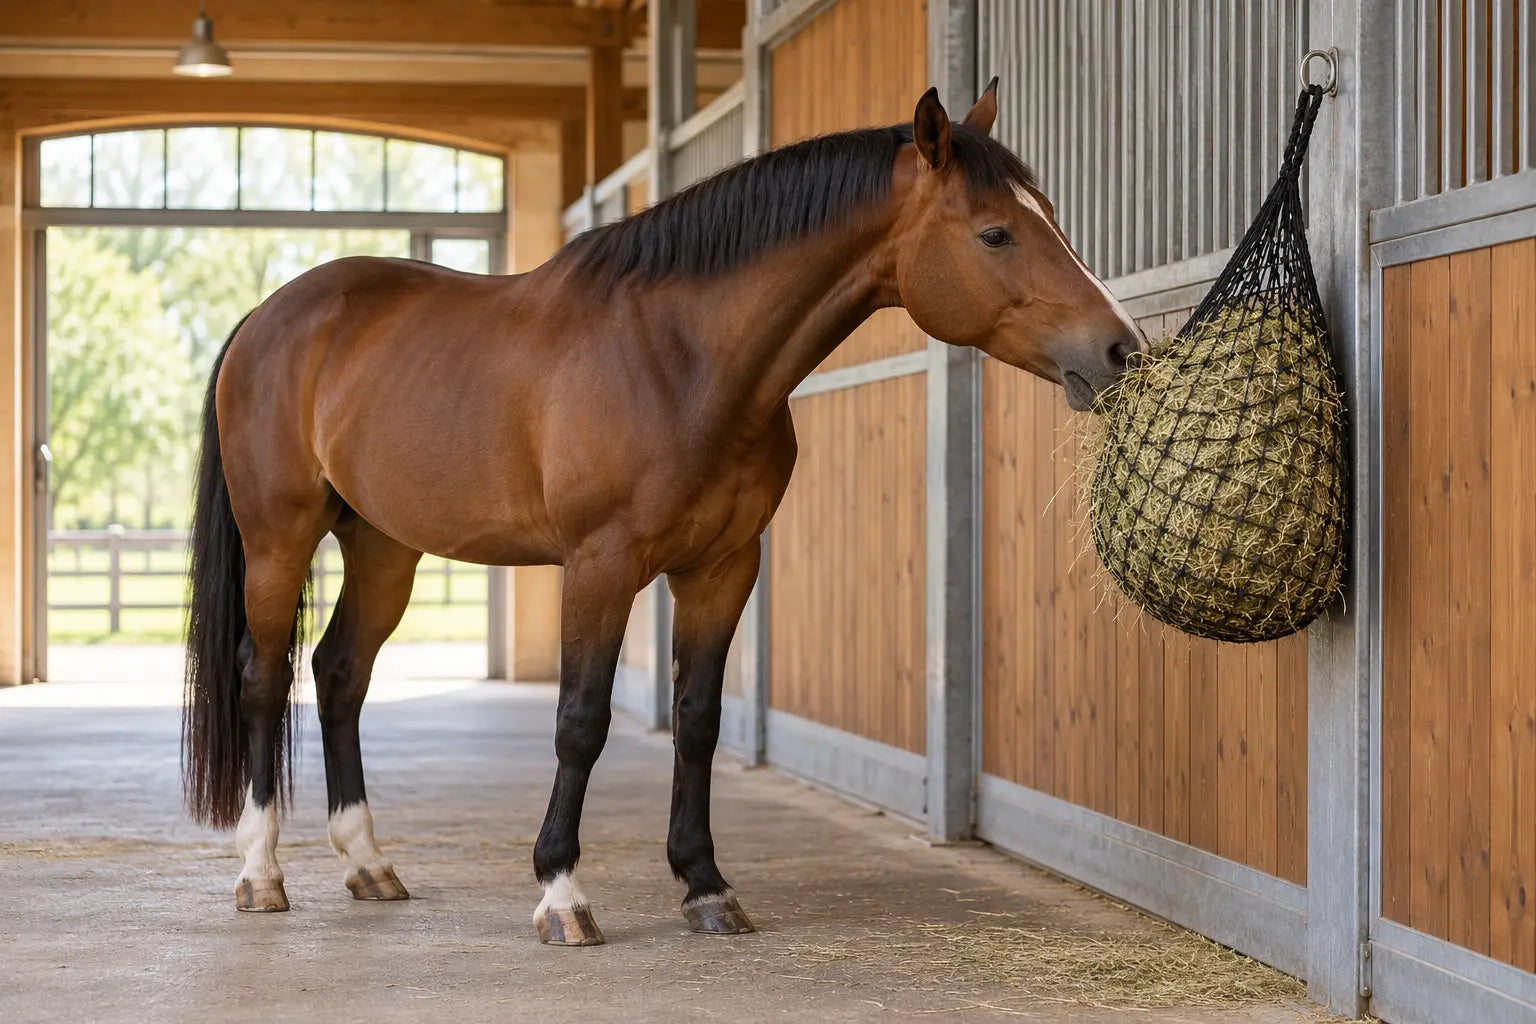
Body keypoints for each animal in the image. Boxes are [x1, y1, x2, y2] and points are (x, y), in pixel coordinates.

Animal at [182, 80, 1145, 945]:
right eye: (995, 232)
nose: (1121, 350)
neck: (681, 359)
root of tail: (267, 317)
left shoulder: (723, 567)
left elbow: (698, 720)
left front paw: (706, 886)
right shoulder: (601, 567)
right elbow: (581, 722)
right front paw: (562, 894)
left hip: (384, 547)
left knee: (340, 673)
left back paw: (369, 863)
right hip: (280, 539)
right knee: (263, 679)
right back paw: (260, 873)